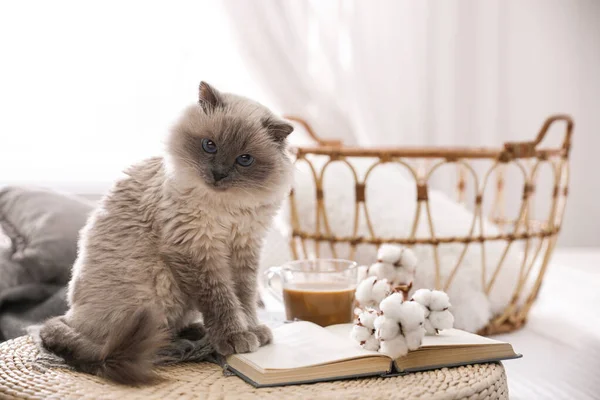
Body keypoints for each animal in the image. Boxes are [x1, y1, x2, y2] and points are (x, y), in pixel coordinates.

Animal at [34, 81, 294, 384]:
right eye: (209, 145)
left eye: (244, 160)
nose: (218, 174)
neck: (227, 209)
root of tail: (69, 318)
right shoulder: (197, 251)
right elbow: (222, 300)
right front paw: (236, 337)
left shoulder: (244, 249)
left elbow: (245, 298)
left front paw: (253, 331)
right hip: (156, 293)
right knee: (125, 343)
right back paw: (183, 344)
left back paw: (195, 332)